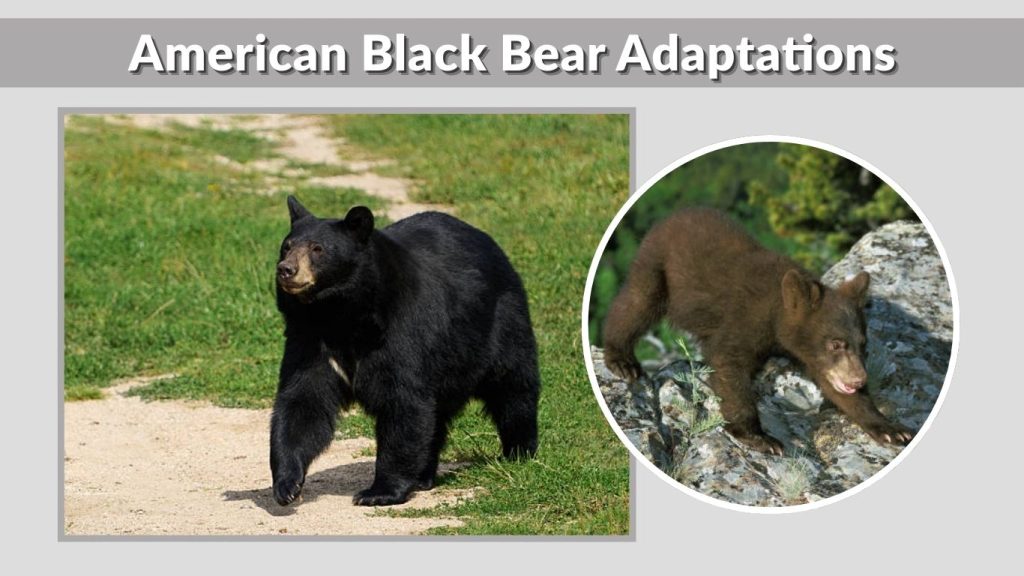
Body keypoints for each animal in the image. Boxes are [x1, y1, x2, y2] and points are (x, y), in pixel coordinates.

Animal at [270, 196, 540, 507]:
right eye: (287, 246)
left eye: (318, 249)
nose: (286, 269)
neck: (341, 314)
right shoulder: (310, 339)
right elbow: (303, 400)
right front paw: (287, 485)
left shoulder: (403, 329)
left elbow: (403, 401)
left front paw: (378, 491)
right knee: (438, 416)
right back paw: (423, 477)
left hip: (501, 325)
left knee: (513, 389)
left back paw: (519, 451)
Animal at [601, 208, 913, 454]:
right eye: (835, 344)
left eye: (863, 344)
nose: (859, 379)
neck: (778, 309)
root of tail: (675, 214)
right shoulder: (747, 320)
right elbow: (728, 363)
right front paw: (759, 437)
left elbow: (836, 388)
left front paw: (889, 428)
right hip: (657, 264)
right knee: (637, 302)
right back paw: (622, 360)